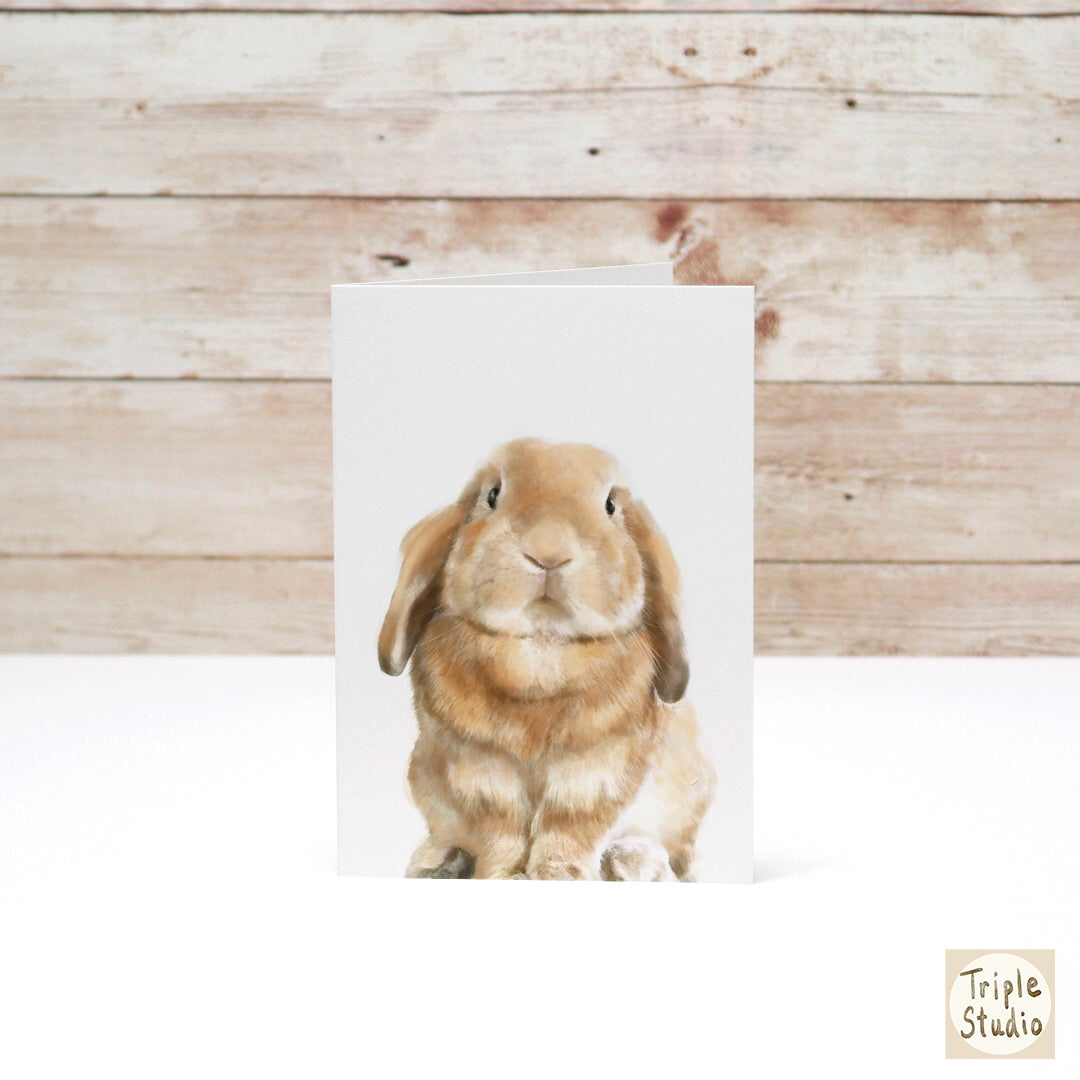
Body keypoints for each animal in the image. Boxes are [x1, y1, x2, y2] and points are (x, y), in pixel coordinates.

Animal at [378, 438, 715, 881]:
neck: (541, 647)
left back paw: (634, 862)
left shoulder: (596, 770)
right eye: (492, 495)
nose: (549, 552)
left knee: (673, 851)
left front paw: (559, 876)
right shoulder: (479, 768)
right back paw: (437, 860)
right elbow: (501, 828)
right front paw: (502, 875)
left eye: (610, 505)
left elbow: (568, 827)